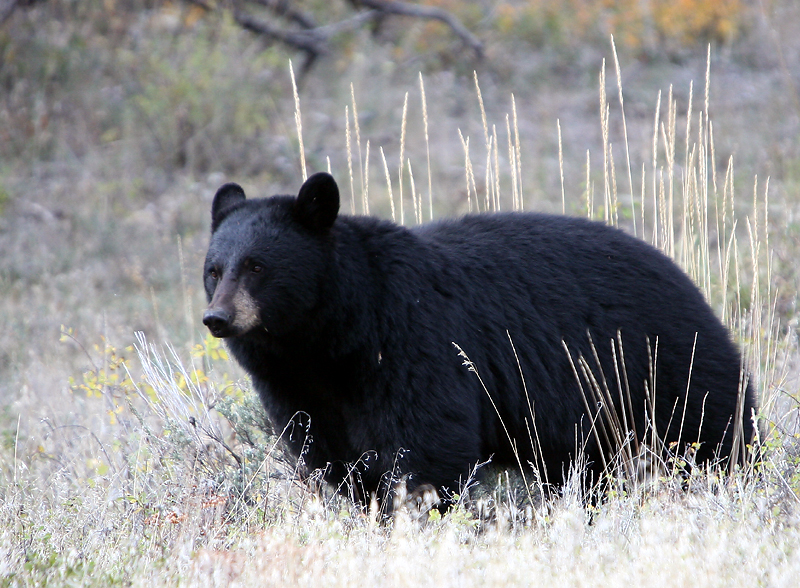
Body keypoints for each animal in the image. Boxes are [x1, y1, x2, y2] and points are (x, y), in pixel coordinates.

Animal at [202, 170, 756, 506]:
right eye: (214, 270)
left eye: (257, 267)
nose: (217, 318)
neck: (328, 340)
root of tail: (690, 285)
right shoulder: (302, 388)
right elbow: (333, 456)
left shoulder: (412, 342)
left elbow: (428, 445)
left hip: (665, 366)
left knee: (711, 438)